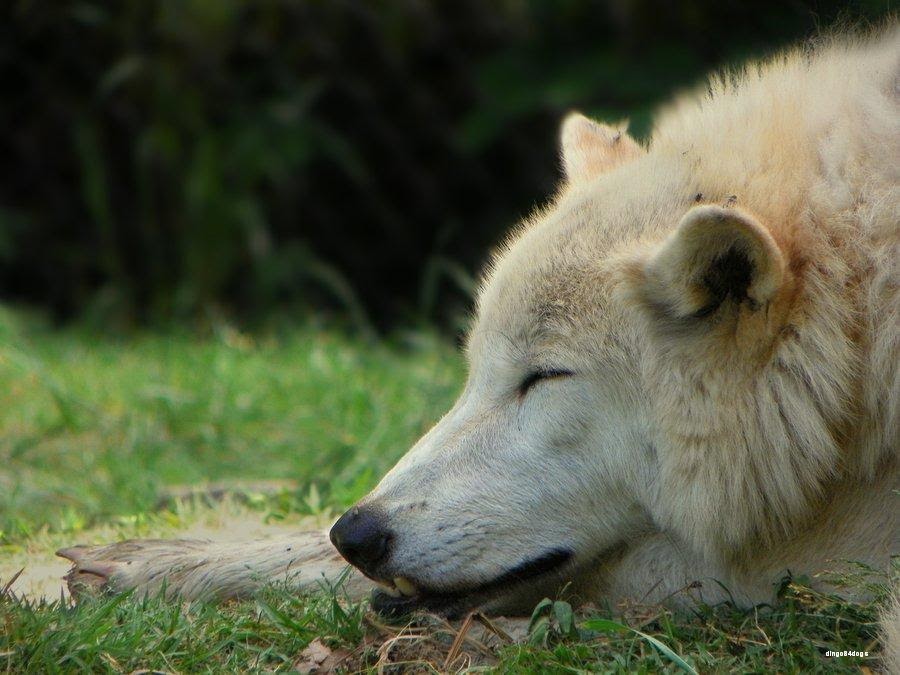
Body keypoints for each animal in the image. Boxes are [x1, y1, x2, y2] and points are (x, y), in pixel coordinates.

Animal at [59, 27, 896, 672]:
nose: (358, 534)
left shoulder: (830, 559)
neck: (855, 339)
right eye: (476, 373)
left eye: (542, 378)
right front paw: (158, 561)